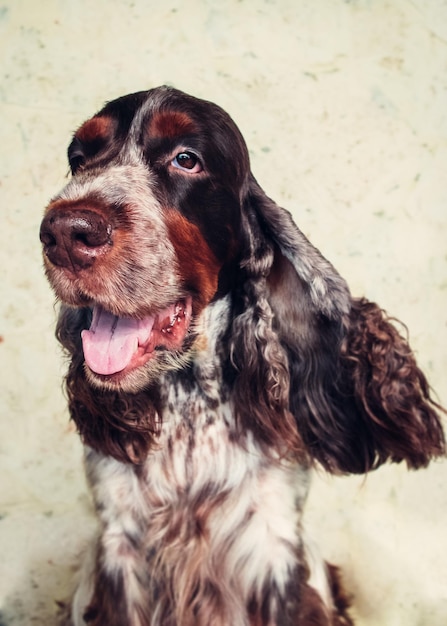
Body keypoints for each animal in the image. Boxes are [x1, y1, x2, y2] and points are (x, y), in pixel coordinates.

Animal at [40, 84, 446, 624]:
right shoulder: (119, 549)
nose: (65, 233)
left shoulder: (273, 546)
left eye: (186, 159)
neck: (190, 404)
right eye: (78, 159)